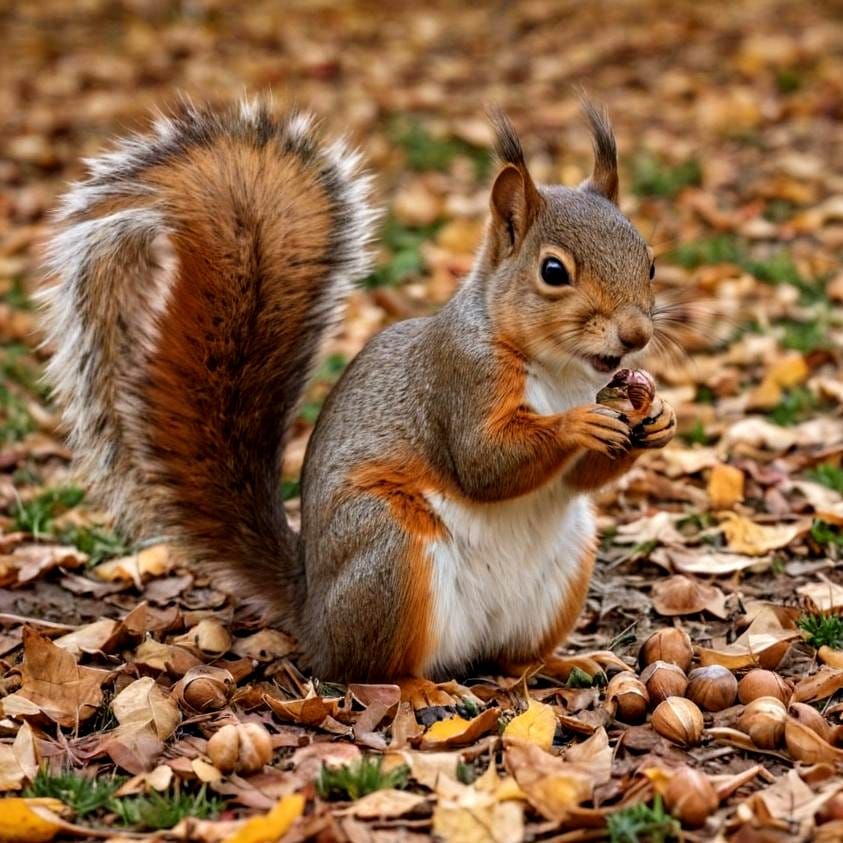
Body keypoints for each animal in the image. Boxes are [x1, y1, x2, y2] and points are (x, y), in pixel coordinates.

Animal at [41, 98, 676, 683]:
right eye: (552, 272)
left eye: (648, 262)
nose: (636, 335)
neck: (562, 371)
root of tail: (315, 616)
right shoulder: (459, 378)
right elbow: (483, 463)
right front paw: (577, 425)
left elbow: (576, 478)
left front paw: (657, 415)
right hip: (390, 551)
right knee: (372, 670)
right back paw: (422, 693)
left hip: (562, 570)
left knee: (509, 658)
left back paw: (562, 663)